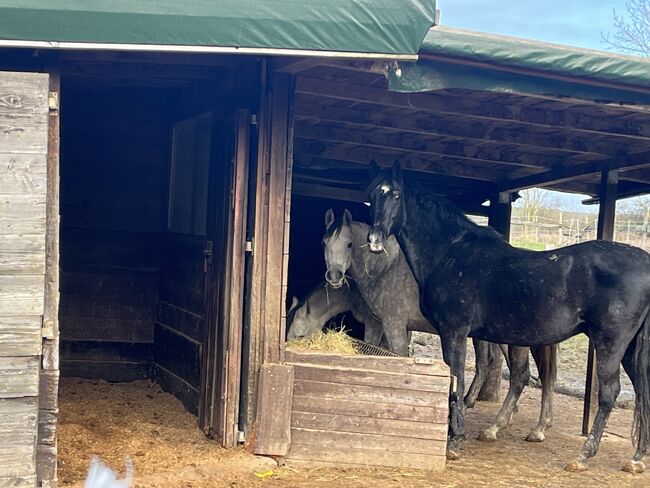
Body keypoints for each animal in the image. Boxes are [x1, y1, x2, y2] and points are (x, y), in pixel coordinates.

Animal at [298, 208, 556, 444]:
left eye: (349, 244)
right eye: (324, 243)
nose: (334, 277)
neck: (385, 269)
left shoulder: (393, 325)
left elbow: (399, 359)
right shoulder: (379, 325)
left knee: (520, 376)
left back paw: (496, 428)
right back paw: (534, 426)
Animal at [364, 160, 648, 472]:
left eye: (396, 195)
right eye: (372, 195)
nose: (375, 241)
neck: (451, 254)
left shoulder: (454, 331)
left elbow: (456, 379)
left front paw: (454, 442)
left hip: (610, 344)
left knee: (609, 393)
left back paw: (583, 455)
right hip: (628, 349)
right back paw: (636, 458)